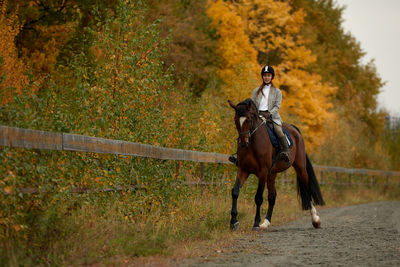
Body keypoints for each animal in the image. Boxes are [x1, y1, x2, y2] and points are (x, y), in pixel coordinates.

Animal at [228, 99, 324, 231]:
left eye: (248, 119)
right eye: (235, 120)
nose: (243, 143)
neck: (252, 144)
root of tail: (294, 129)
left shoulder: (262, 172)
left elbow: (258, 197)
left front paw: (256, 224)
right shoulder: (243, 170)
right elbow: (235, 192)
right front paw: (234, 222)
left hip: (300, 168)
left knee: (307, 189)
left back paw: (315, 219)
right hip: (272, 174)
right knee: (272, 196)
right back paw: (266, 223)